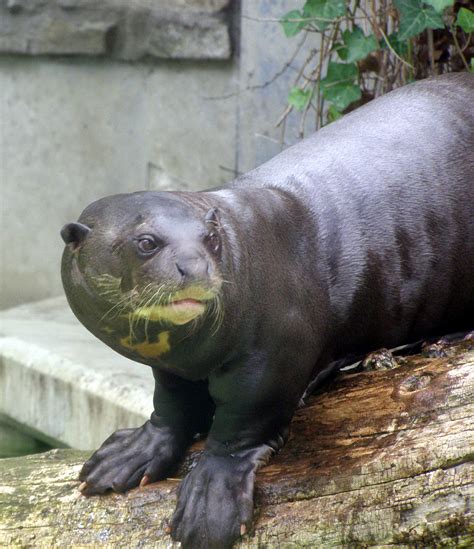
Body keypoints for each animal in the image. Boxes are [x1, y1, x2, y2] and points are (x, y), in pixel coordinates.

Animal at [62, 74, 474, 548]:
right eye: (146, 242)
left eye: (210, 239)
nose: (195, 267)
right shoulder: (172, 367)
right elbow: (172, 403)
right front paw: (131, 453)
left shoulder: (275, 351)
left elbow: (244, 420)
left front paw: (213, 497)